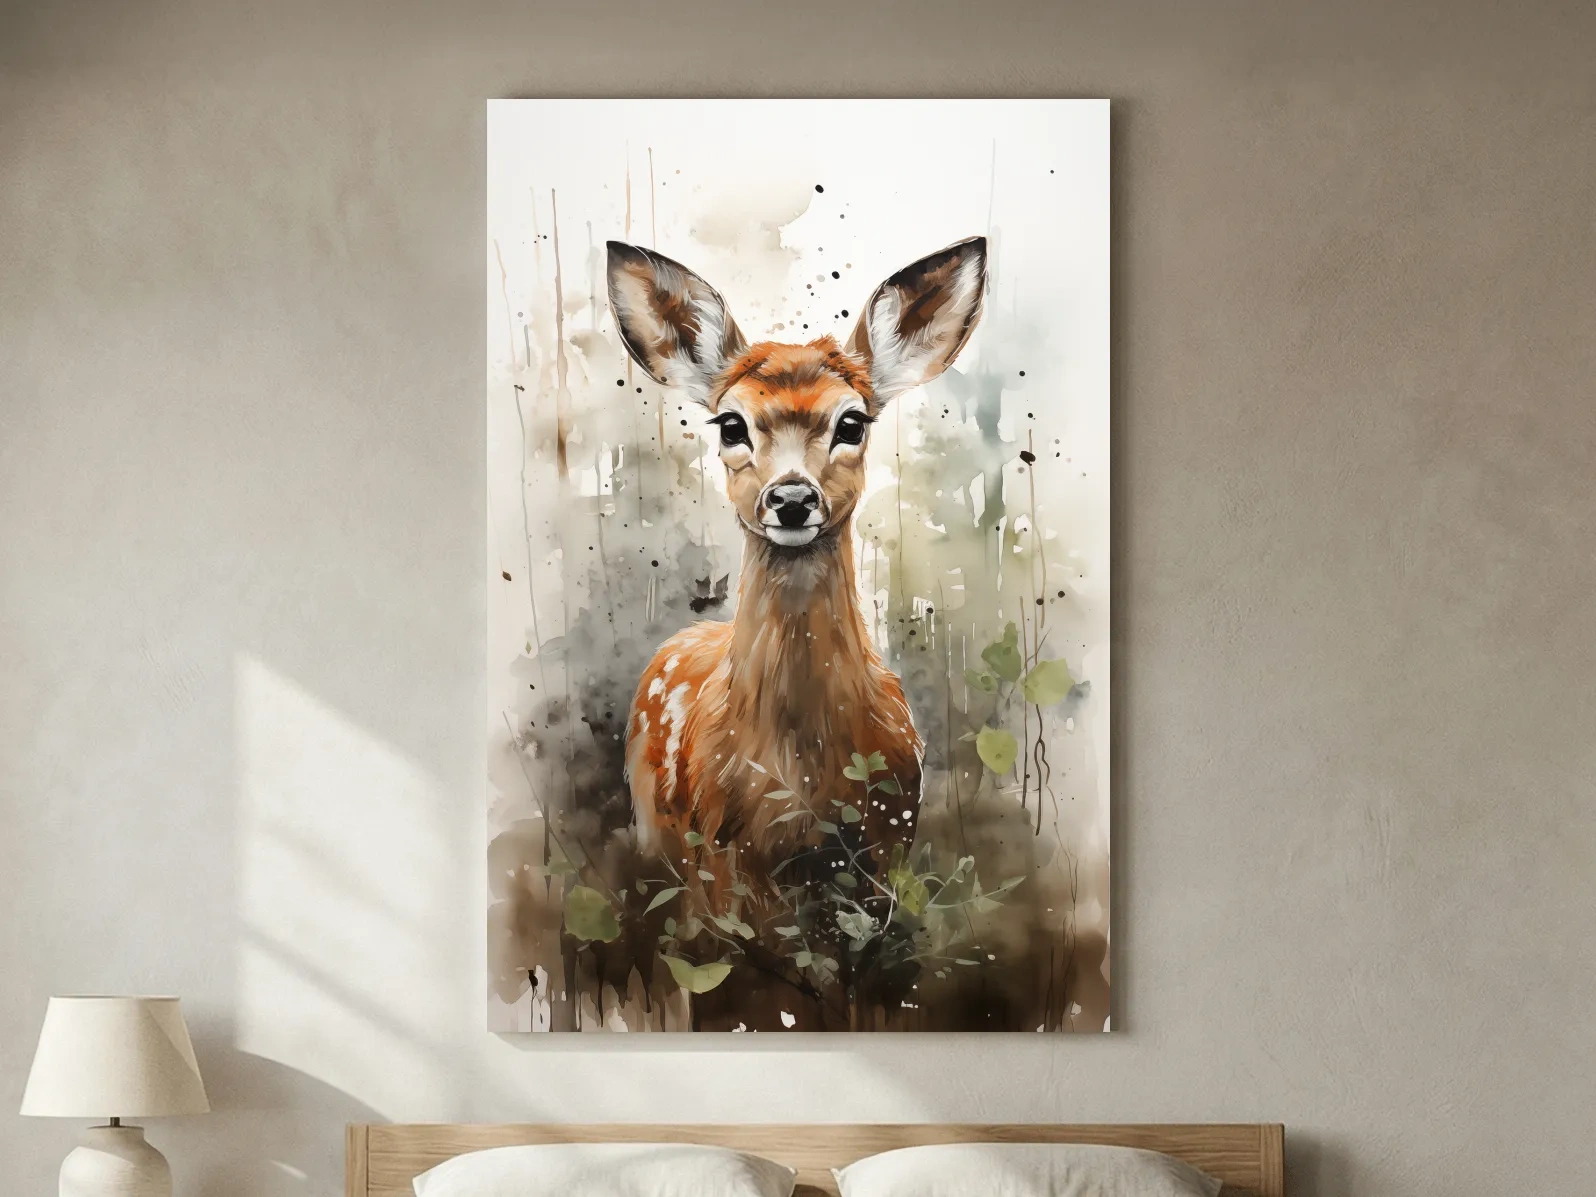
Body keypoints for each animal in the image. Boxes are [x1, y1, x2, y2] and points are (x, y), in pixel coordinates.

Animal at [607, 235, 988, 934]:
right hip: (656, 827)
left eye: (853, 423)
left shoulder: (889, 843)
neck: (801, 781)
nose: (790, 498)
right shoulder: (719, 857)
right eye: (730, 425)